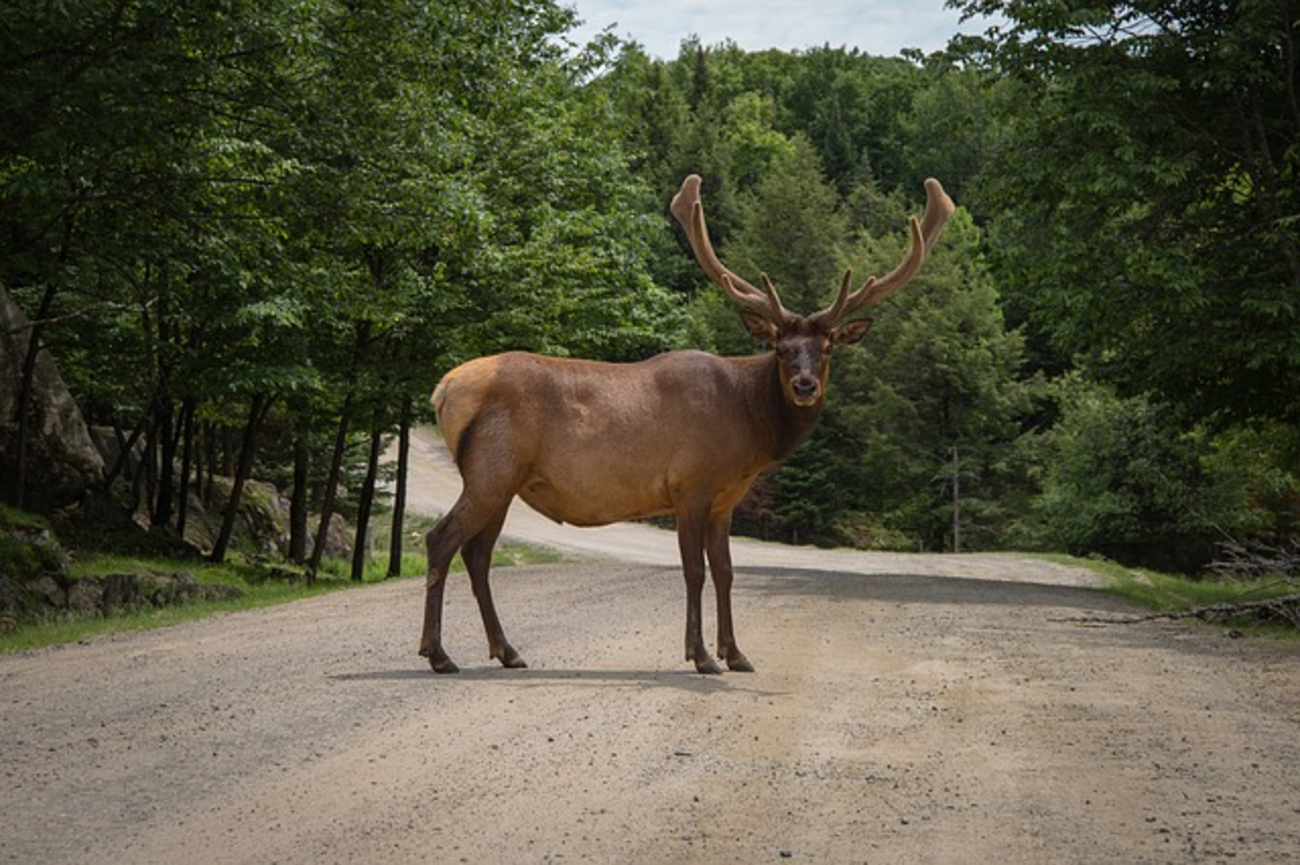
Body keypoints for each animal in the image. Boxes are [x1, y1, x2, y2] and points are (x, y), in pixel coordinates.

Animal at [420, 174, 954, 674]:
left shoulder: (725, 499)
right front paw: (701, 655)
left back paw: (507, 651)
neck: (749, 428)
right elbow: (694, 571)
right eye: (781, 348)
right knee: (442, 539)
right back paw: (438, 653)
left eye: (826, 349)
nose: (804, 385)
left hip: (504, 480)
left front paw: (737, 653)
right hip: (492, 469)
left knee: (478, 554)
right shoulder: (689, 483)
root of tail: (444, 389)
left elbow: (726, 570)